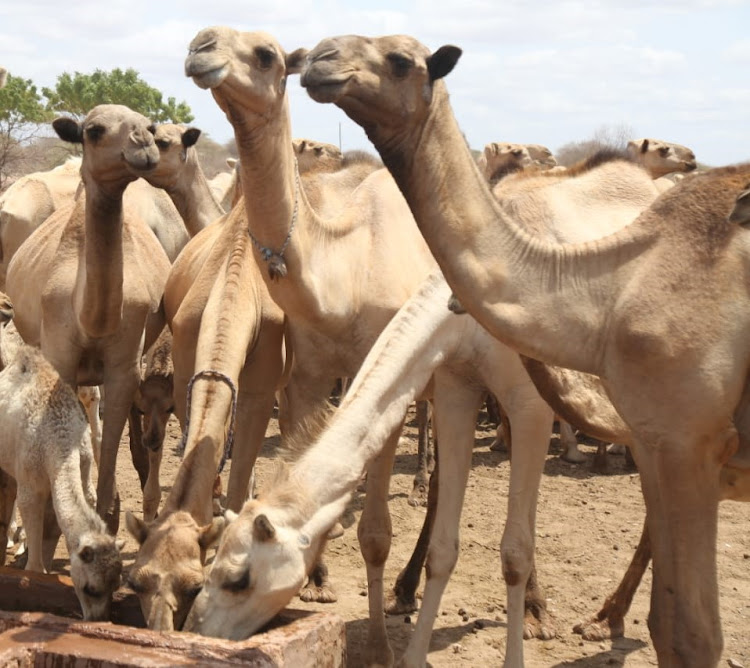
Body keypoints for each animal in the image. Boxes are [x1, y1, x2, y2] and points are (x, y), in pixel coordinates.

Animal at [0, 292, 123, 620]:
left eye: (115, 586)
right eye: (90, 588)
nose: (98, 620)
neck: (58, 442)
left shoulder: (79, 466)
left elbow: (61, 517)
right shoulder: (31, 483)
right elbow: (35, 556)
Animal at [5, 104, 171, 532]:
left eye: (149, 127)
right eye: (94, 130)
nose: (143, 148)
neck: (91, 318)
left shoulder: (125, 368)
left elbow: (111, 444)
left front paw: (108, 512)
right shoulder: (60, 356)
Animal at [302, 32, 750, 668]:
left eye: (400, 61)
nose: (317, 58)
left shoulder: (539, 400)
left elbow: (516, 549)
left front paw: (532, 619)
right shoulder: (458, 385)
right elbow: (445, 539)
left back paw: (605, 610)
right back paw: (608, 612)